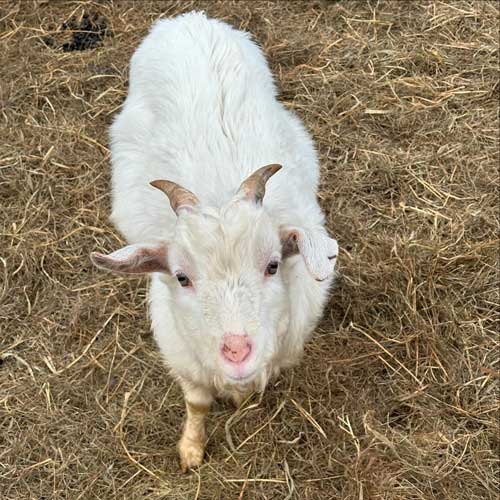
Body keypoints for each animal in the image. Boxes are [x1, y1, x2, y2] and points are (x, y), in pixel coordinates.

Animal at [92, 11, 338, 472]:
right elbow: (197, 404)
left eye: (273, 265)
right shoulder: (183, 358)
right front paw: (191, 450)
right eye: (181, 277)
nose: (237, 352)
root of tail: (189, 19)